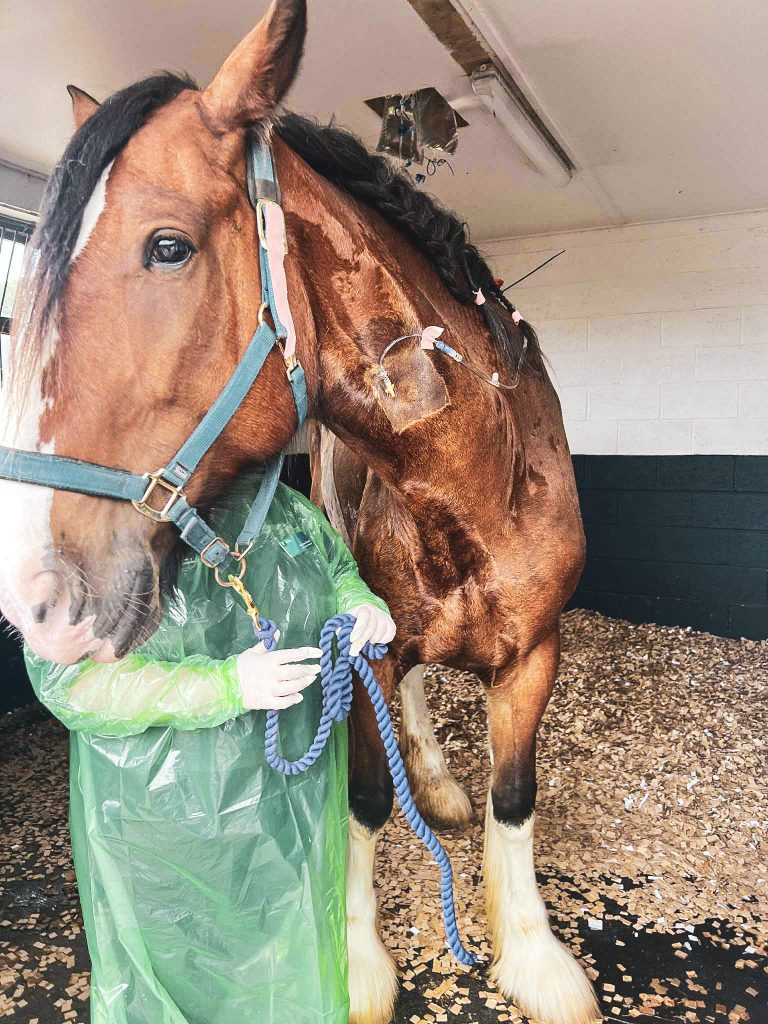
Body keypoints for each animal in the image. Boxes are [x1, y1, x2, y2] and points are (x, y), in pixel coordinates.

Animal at [0, 3, 598, 1023]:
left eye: (168, 245)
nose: (38, 598)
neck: (476, 481)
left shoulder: (537, 651)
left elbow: (515, 797)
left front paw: (536, 959)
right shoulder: (359, 642)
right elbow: (364, 797)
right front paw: (358, 965)